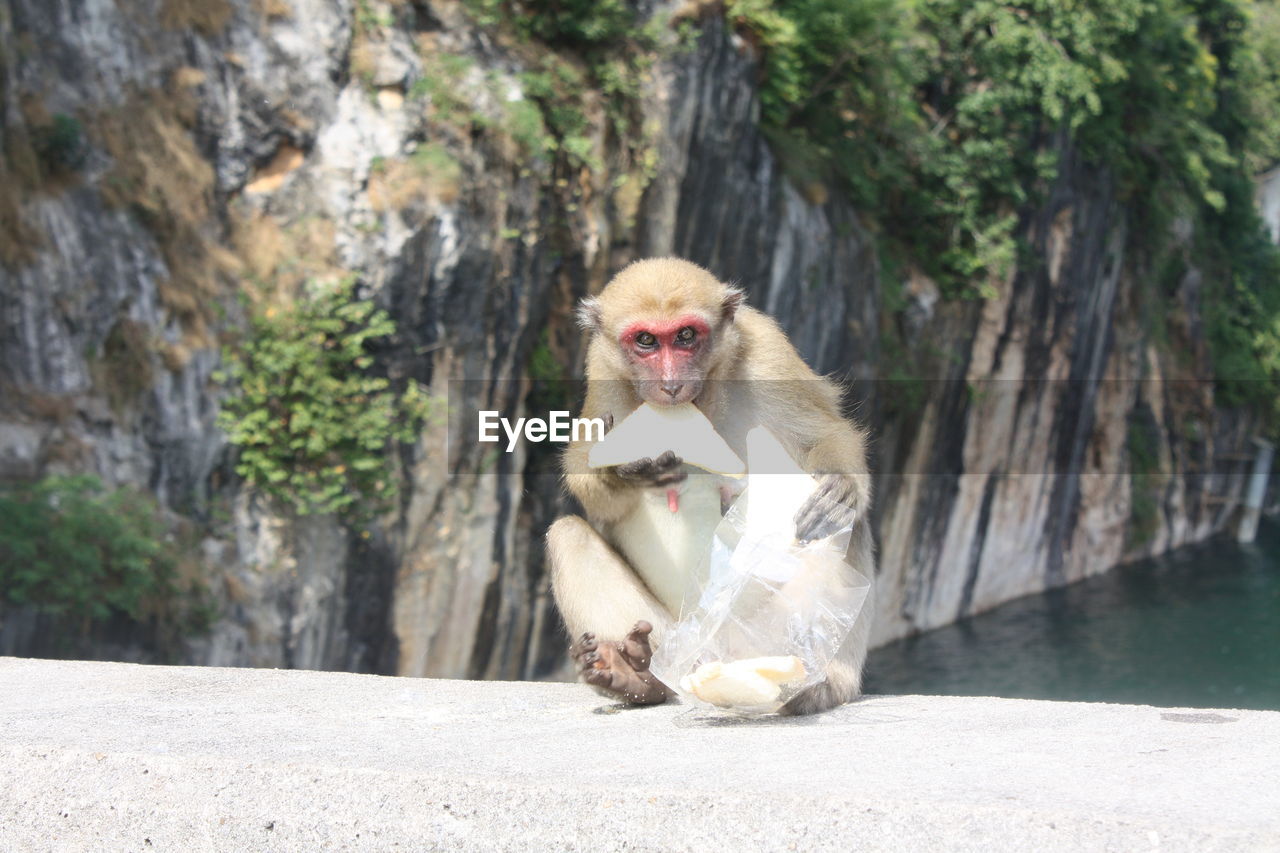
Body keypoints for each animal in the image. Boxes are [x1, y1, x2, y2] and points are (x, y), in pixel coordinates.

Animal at [545, 257, 875, 712]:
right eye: (645, 340)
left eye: (686, 336)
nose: (670, 383)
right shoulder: (603, 369)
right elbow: (590, 477)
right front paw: (623, 467)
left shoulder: (768, 354)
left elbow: (824, 434)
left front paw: (841, 487)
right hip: (670, 633)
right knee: (567, 535)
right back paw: (635, 675)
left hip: (764, 631)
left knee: (843, 527)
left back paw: (821, 684)